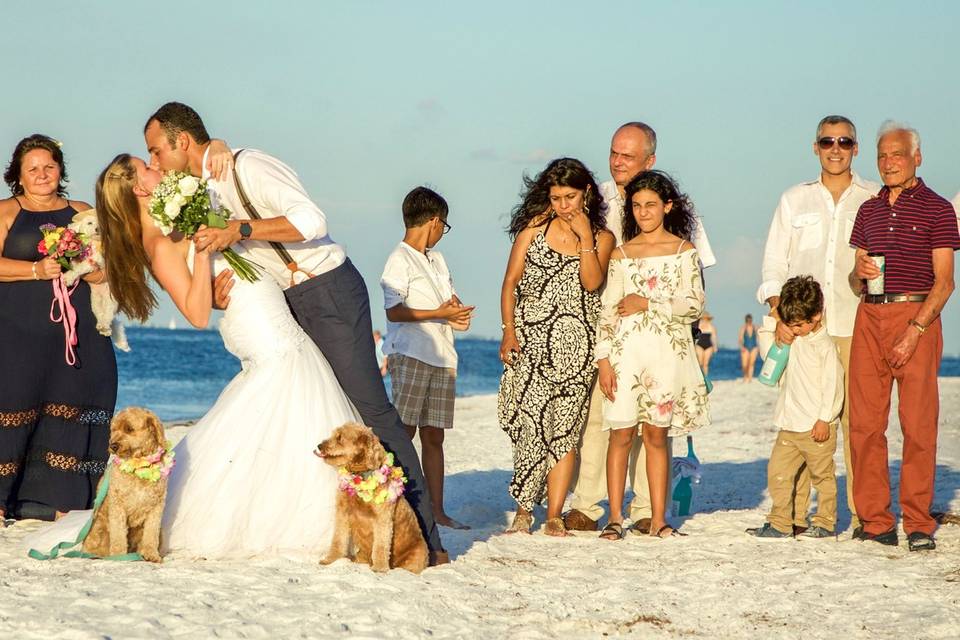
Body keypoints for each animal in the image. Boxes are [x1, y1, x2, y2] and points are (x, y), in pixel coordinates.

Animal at [65, 209, 129, 350]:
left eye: (101, 223)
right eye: (90, 223)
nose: (97, 229)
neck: (91, 242)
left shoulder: (94, 261)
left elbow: (80, 268)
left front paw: (68, 277)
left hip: (110, 301)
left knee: (108, 315)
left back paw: (105, 326)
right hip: (96, 302)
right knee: (102, 315)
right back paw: (103, 328)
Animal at [82, 408, 172, 564]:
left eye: (129, 429)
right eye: (113, 430)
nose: (113, 446)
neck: (139, 467)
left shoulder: (156, 508)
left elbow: (151, 535)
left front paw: (151, 555)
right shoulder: (118, 506)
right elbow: (118, 535)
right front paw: (118, 555)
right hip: (97, 529)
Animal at [316, 424, 430, 576]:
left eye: (340, 438)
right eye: (334, 434)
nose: (319, 445)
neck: (360, 477)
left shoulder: (383, 518)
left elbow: (381, 545)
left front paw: (380, 568)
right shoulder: (342, 513)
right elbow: (338, 539)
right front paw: (330, 560)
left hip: (416, 555)